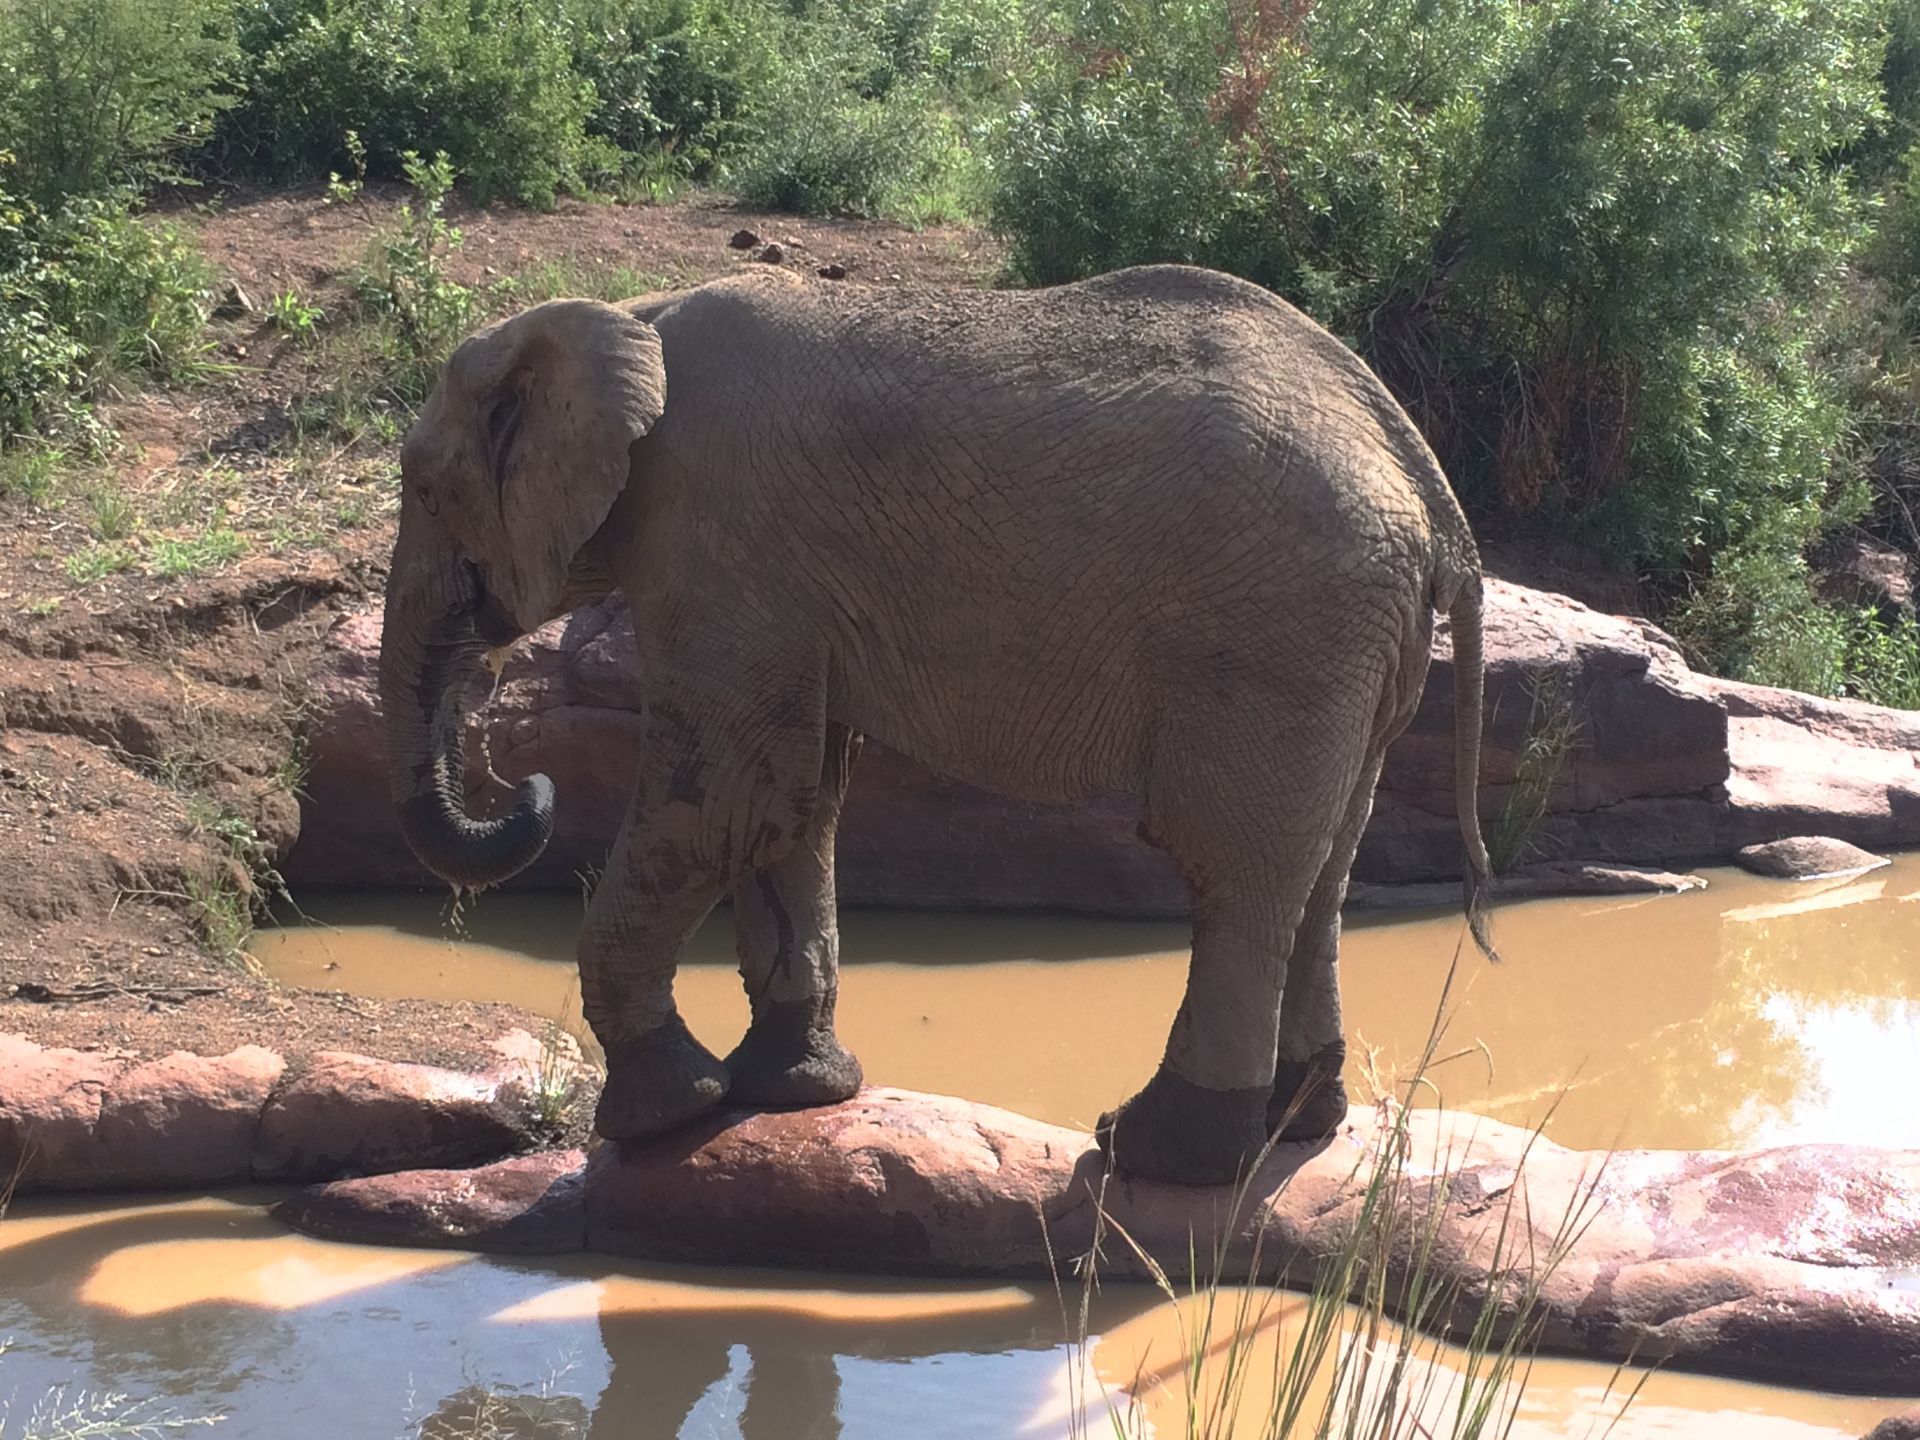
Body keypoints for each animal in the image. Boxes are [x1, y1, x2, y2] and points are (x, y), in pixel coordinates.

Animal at [379, 262, 1493, 1186]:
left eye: (427, 489)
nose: (524, 781)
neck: (628, 315)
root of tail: (1431, 489)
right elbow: (794, 804)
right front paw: (790, 1091)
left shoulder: (716, 535)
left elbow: (726, 800)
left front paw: (665, 1115)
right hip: (1351, 646)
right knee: (1323, 864)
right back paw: (1299, 1126)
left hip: (1277, 632)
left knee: (1235, 866)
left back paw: (1156, 1154)